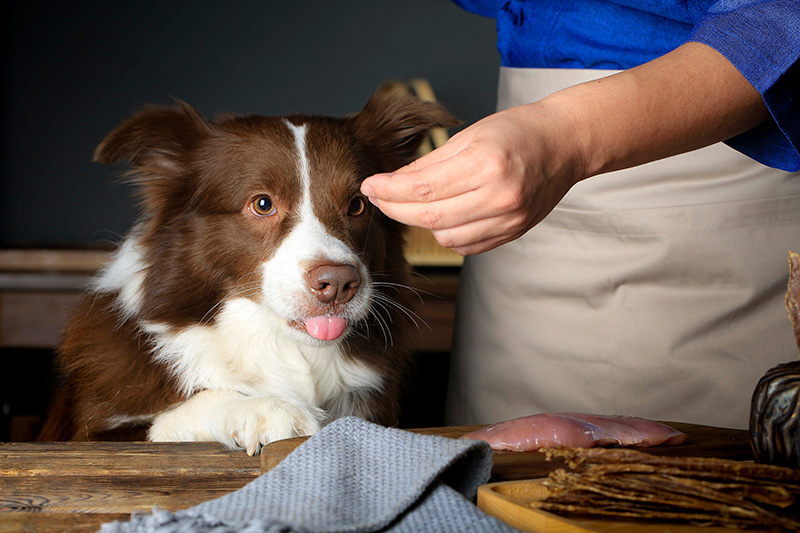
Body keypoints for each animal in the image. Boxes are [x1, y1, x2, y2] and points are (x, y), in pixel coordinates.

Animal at [39, 88, 456, 454]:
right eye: (262, 203)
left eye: (357, 205)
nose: (339, 284)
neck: (282, 347)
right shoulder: (89, 435)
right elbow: (169, 418)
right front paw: (261, 407)